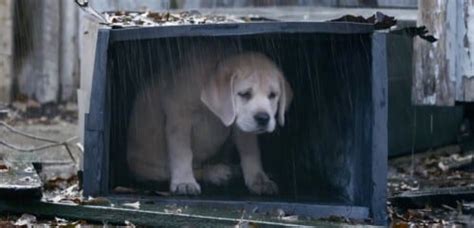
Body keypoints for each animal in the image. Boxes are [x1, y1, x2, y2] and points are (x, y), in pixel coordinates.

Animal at [126, 44, 292, 196]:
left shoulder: (242, 125)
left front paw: (259, 180)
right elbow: (183, 153)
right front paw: (184, 182)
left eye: (273, 95)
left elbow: (251, 152)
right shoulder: (179, 118)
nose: (263, 118)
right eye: (244, 94)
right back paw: (215, 172)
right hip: (147, 167)